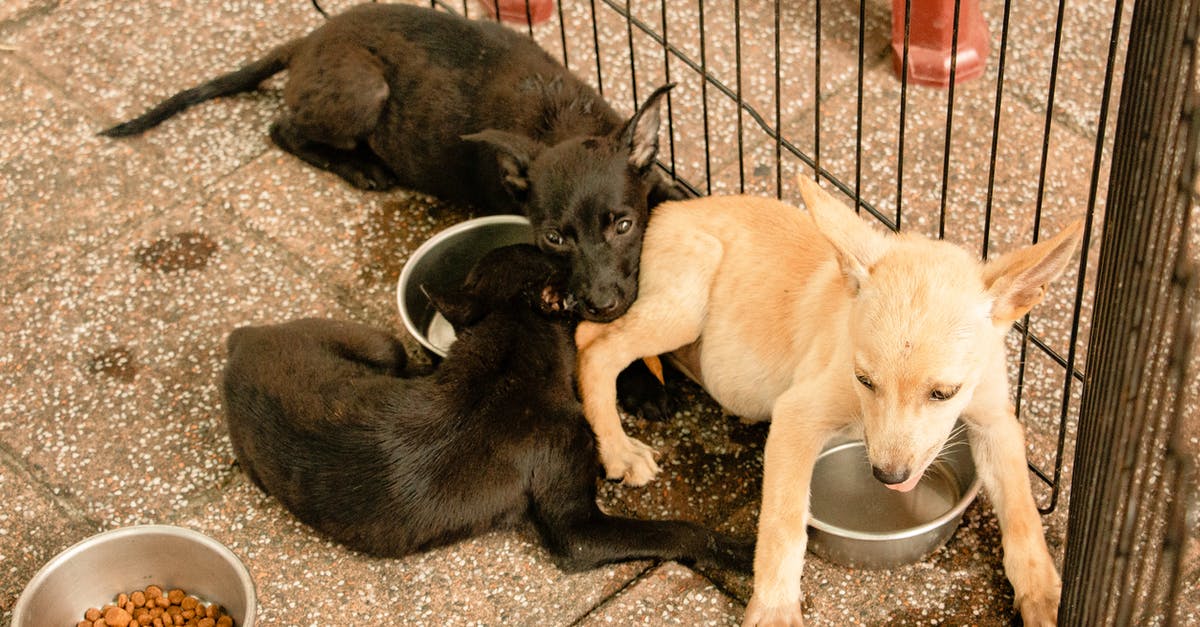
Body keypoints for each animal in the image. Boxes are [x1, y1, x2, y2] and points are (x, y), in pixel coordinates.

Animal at [104, 2, 686, 319]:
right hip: (365, 91)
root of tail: (310, 38)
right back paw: (361, 167)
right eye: (554, 240)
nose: (602, 306)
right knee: (281, 128)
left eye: (623, 226)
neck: (560, 122)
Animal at [220, 245, 748, 571]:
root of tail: (241, 340)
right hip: (382, 347)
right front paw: (738, 549)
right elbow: (676, 531)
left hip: (379, 349)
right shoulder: (578, 528)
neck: (510, 348)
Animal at [576, 176, 1084, 624]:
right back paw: (619, 446)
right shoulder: (797, 415)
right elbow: (783, 524)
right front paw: (775, 610)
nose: (888, 477)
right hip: (683, 306)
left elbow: (1022, 514)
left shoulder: (997, 422)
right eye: (864, 379)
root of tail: (667, 209)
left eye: (944, 393)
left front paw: (1044, 596)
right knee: (592, 344)